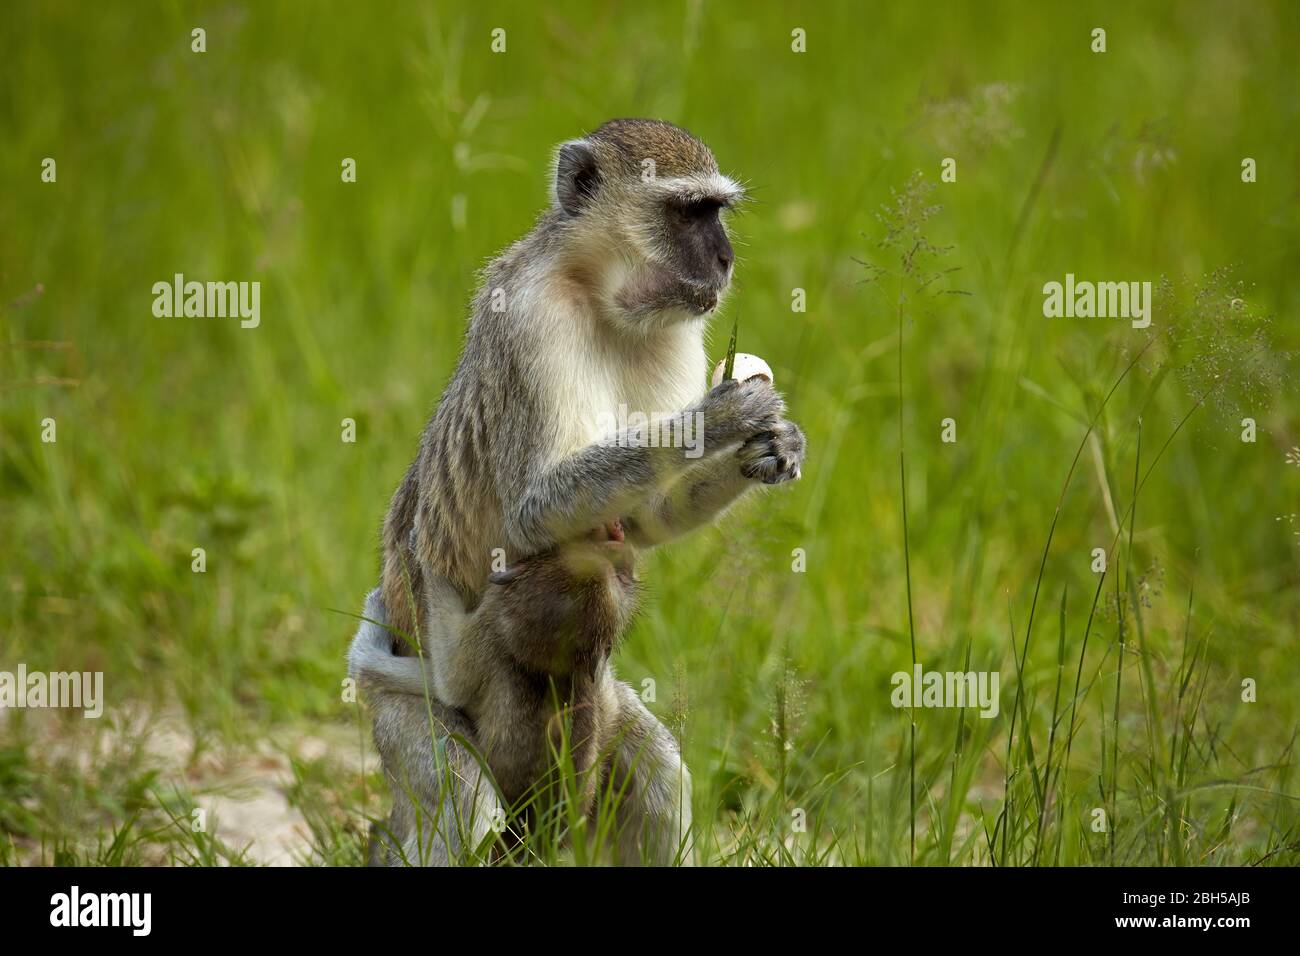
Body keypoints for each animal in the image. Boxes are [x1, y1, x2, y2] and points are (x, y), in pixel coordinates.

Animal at [378, 119, 807, 713]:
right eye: (687, 213)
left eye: (715, 212)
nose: (725, 259)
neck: (598, 295)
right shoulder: (534, 317)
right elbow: (529, 510)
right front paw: (719, 420)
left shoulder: (678, 332)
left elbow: (646, 513)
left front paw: (775, 446)